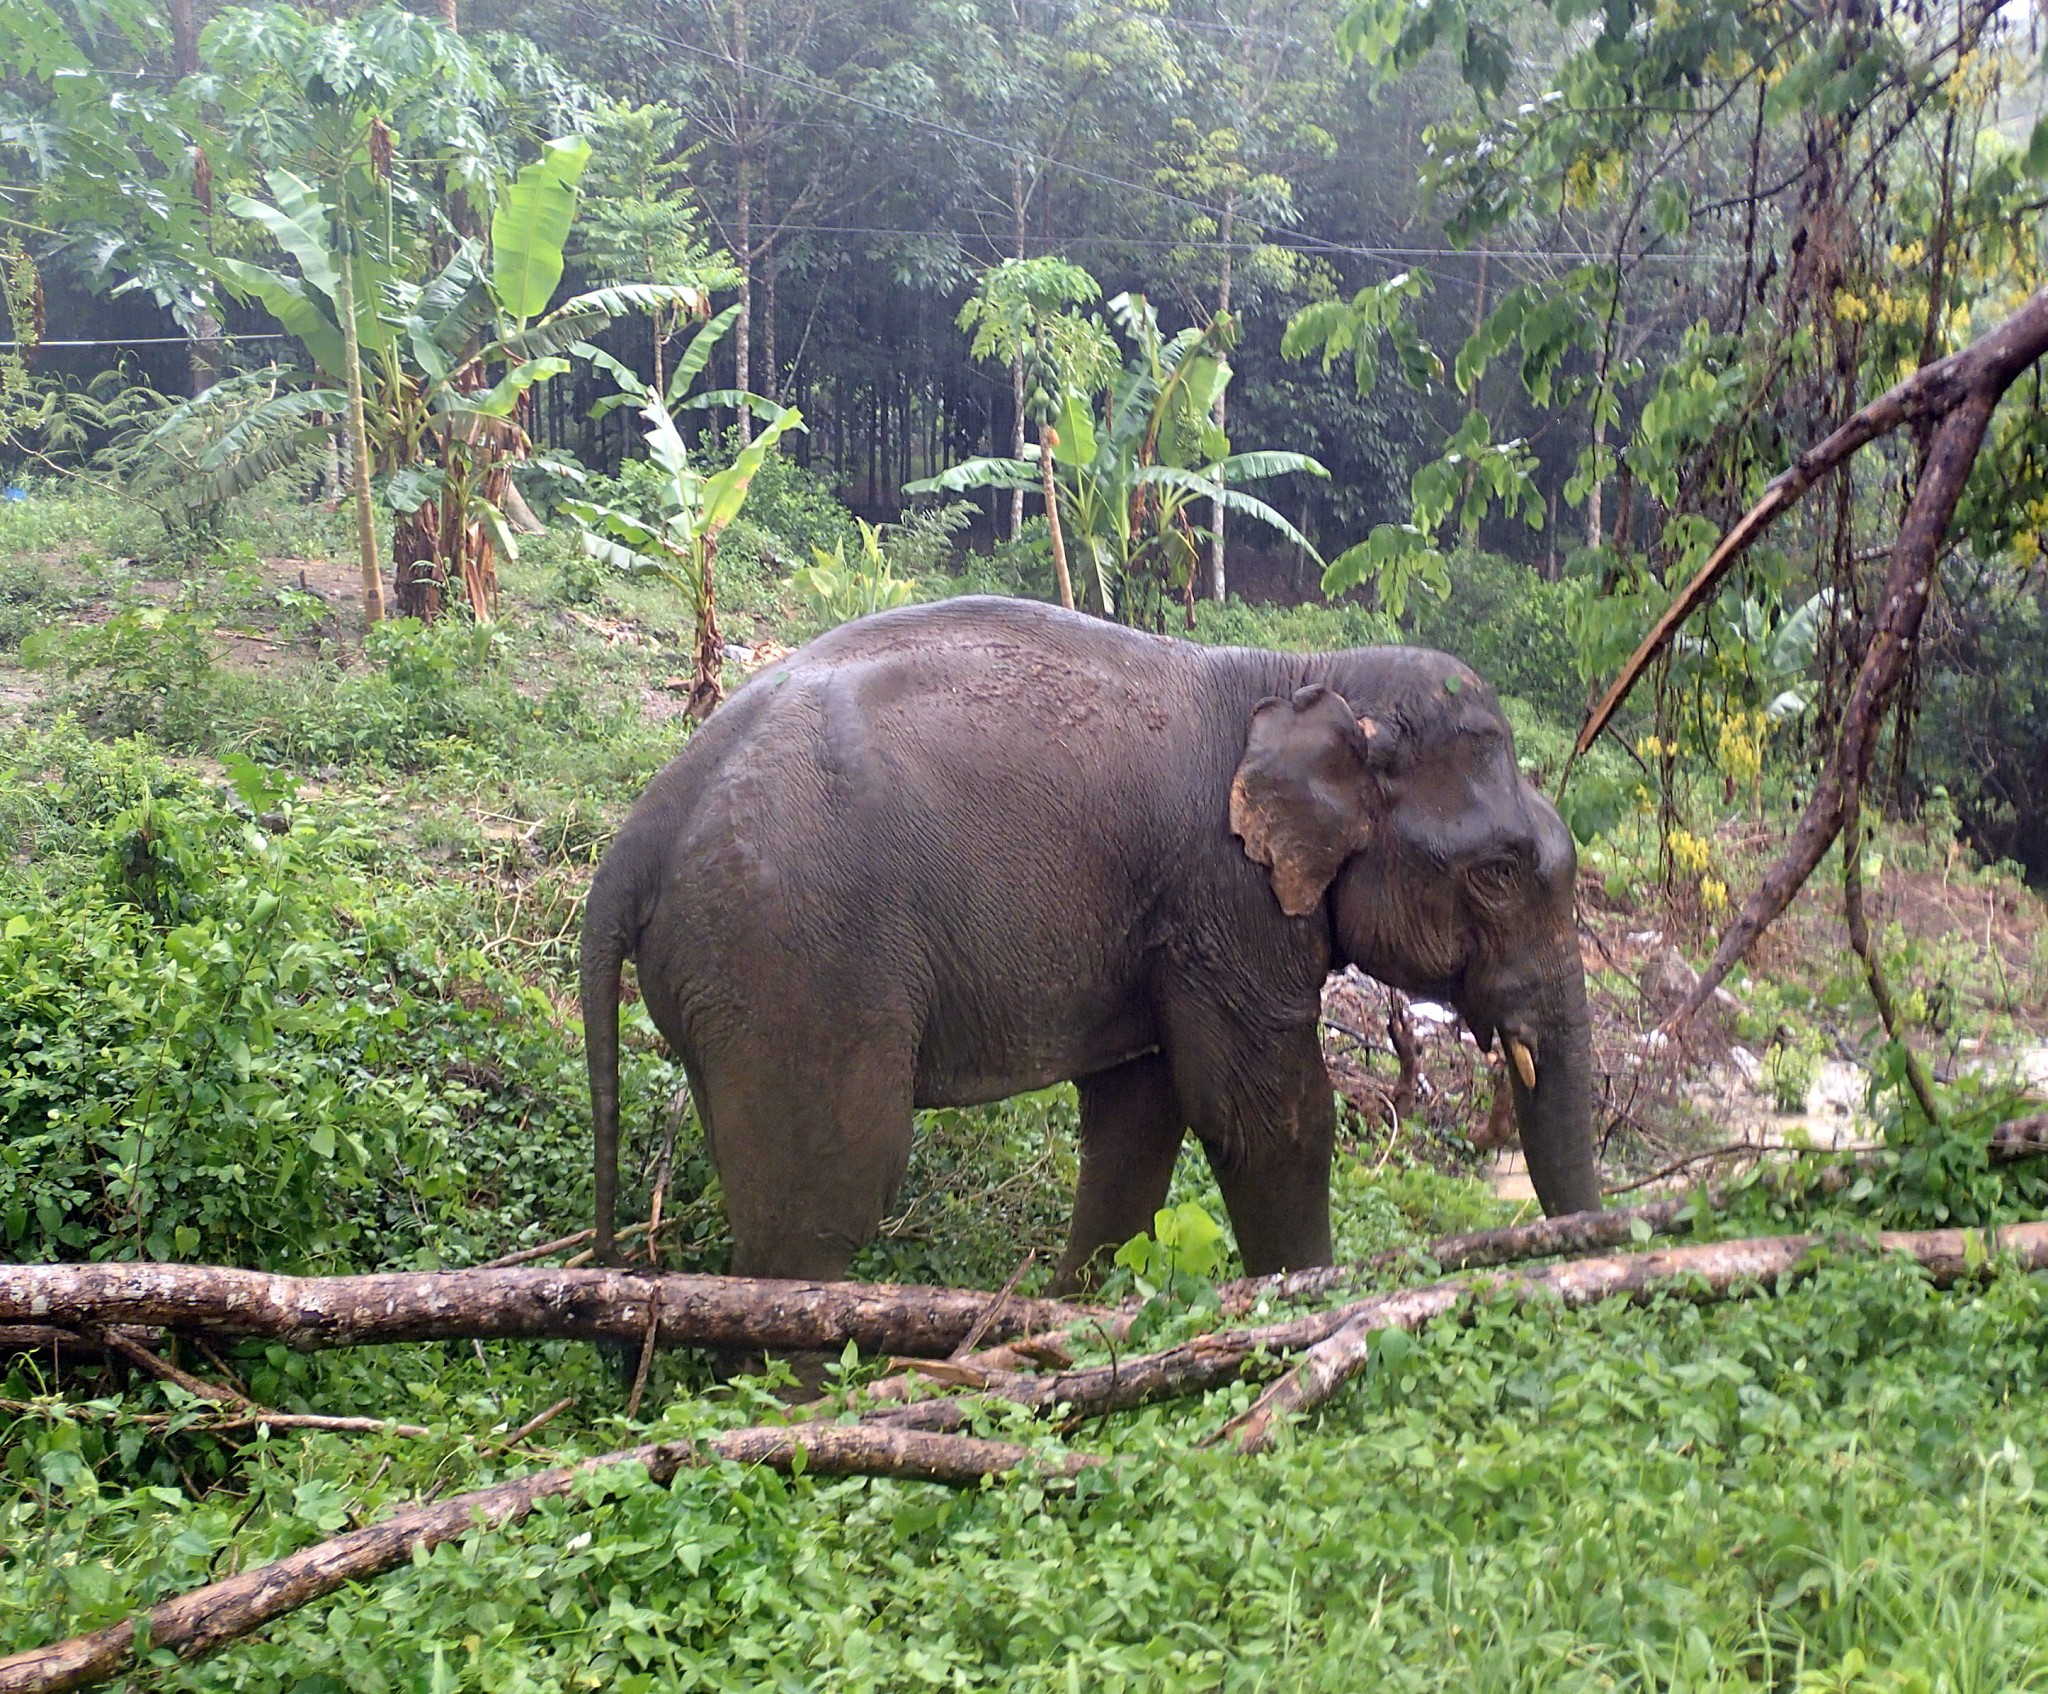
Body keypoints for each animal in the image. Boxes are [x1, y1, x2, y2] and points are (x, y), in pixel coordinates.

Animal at [582, 595, 1599, 1295]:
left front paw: (1075, 1313)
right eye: (1500, 871)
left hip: (727, 977)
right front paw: (1303, 1295)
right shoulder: (1222, 894)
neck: (1311, 672)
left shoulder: (1166, 924)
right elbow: (1264, 1115)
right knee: (830, 1199)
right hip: (797, 957)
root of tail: (642, 827)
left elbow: (1140, 1115)